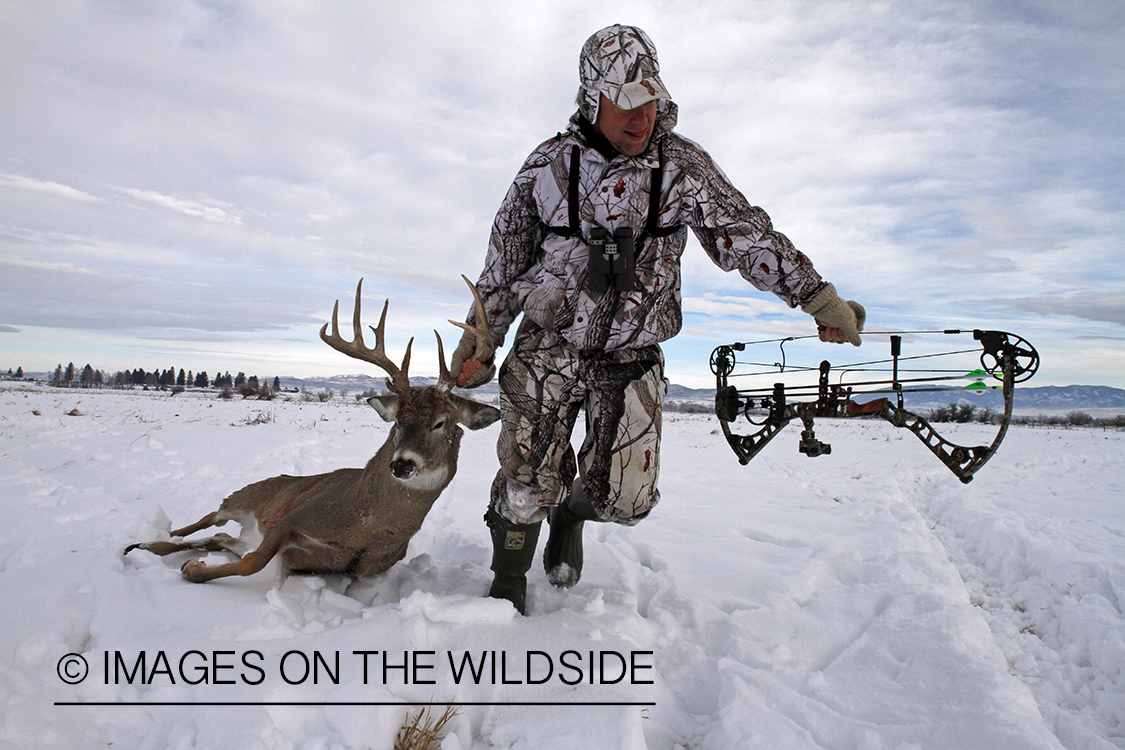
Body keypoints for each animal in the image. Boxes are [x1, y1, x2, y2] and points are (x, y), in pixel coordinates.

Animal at [125, 276, 498, 583]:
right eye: (397, 421)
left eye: (440, 422)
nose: (402, 464)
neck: (365, 529)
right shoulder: (293, 517)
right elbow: (253, 562)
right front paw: (193, 568)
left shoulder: (357, 565)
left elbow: (254, 557)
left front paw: (194, 564)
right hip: (250, 493)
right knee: (210, 517)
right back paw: (149, 542)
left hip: (243, 526)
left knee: (220, 537)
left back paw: (151, 547)